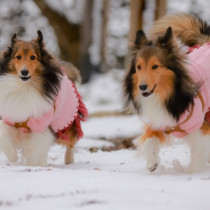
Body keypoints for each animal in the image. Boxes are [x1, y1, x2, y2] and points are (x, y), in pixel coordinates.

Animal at [0, 30, 88, 166]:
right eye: (18, 57)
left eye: (33, 57)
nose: (24, 72)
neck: (25, 86)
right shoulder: (11, 118)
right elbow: (4, 135)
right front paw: (13, 157)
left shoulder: (40, 124)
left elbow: (34, 148)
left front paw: (34, 165)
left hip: (65, 122)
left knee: (71, 142)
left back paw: (69, 160)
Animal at [124, 13, 210, 173]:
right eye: (138, 67)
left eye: (155, 66)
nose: (142, 87)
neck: (166, 96)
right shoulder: (160, 121)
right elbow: (149, 141)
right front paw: (152, 163)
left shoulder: (200, 126)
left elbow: (198, 151)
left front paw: (192, 172)